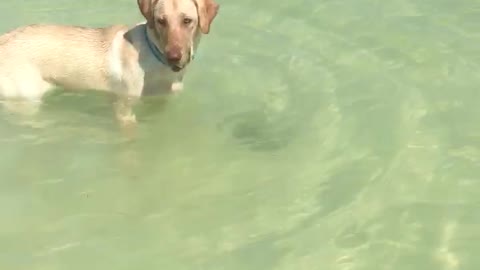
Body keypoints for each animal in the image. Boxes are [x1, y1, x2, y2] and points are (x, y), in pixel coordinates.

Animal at [0, 0, 219, 124]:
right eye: (161, 21)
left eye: (187, 21)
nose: (173, 56)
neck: (153, 53)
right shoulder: (124, 109)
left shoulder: (159, 101)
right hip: (26, 98)